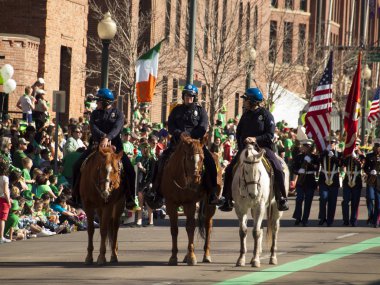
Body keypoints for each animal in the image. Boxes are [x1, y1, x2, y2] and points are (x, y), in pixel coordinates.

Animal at [161, 134, 223, 266]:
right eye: (188, 157)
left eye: (202, 158)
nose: (195, 180)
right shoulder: (171, 204)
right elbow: (174, 229)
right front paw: (173, 257)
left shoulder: (189, 203)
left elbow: (190, 228)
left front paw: (191, 256)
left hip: (210, 205)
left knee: (208, 225)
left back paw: (206, 255)